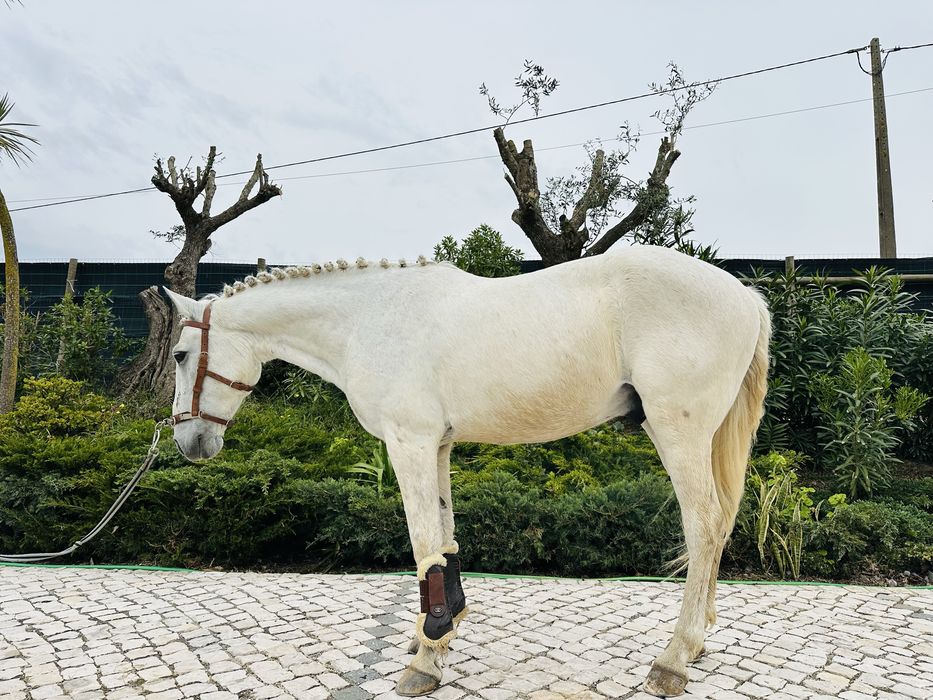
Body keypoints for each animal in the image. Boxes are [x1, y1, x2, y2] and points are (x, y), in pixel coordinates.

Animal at [165, 244, 770, 697]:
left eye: (179, 355)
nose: (189, 441)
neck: (370, 319)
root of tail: (743, 294)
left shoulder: (409, 444)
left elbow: (422, 543)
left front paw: (426, 659)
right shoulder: (437, 446)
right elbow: (445, 540)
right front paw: (440, 629)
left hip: (678, 433)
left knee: (703, 525)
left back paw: (673, 659)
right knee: (718, 524)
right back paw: (699, 641)